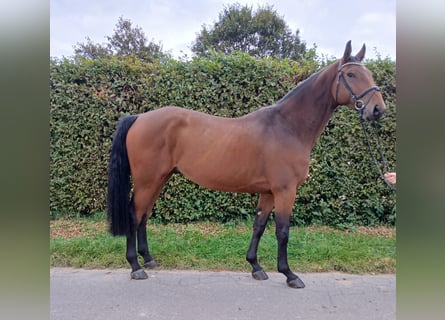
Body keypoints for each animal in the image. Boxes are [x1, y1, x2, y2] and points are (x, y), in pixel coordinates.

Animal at [106, 41, 386, 288]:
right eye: (351, 74)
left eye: (370, 74)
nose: (378, 109)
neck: (287, 126)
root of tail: (139, 117)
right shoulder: (285, 190)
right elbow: (283, 231)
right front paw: (289, 274)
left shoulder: (269, 192)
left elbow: (259, 225)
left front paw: (255, 266)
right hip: (148, 179)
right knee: (135, 214)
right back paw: (135, 266)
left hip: (159, 178)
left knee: (144, 214)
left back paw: (148, 259)